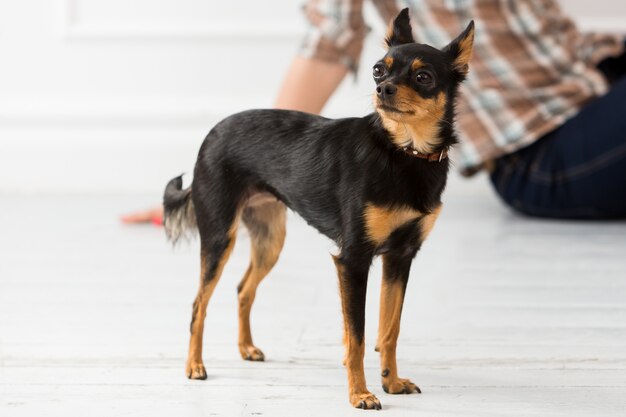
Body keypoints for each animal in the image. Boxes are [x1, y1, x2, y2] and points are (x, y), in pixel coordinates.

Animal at [162, 9, 472, 410]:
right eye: (378, 70)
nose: (382, 89)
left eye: (423, 77)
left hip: (270, 240)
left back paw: (246, 348)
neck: (403, 151)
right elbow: (357, 337)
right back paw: (195, 365)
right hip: (219, 237)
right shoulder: (353, 261)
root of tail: (211, 135)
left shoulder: (400, 257)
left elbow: (389, 329)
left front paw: (392, 382)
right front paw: (361, 394)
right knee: (198, 303)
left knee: (243, 289)